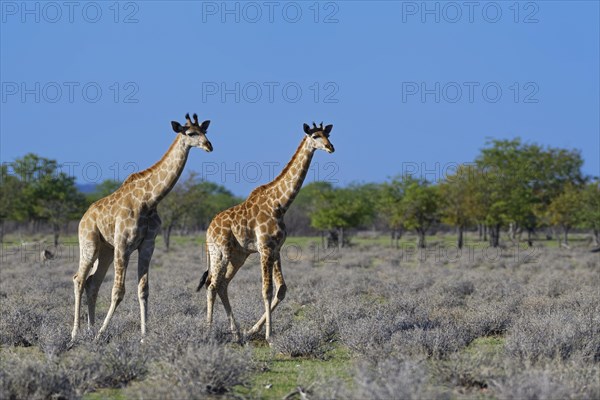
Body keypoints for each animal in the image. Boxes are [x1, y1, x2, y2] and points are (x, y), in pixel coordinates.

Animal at [71, 112, 213, 340]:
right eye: (191, 133)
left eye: (205, 131)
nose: (209, 145)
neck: (150, 199)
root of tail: (84, 216)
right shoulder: (123, 245)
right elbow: (118, 291)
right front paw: (102, 332)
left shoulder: (147, 244)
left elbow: (143, 290)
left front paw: (144, 336)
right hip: (89, 243)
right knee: (79, 279)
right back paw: (76, 333)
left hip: (106, 250)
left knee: (92, 283)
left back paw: (90, 329)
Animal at [198, 121, 336, 340]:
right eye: (315, 136)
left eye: (328, 135)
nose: (330, 147)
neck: (280, 203)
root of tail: (208, 230)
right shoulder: (264, 248)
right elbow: (266, 290)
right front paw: (269, 337)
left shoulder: (276, 248)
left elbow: (281, 290)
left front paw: (253, 330)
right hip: (220, 252)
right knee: (212, 285)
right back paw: (209, 331)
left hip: (239, 256)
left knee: (222, 285)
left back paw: (237, 332)